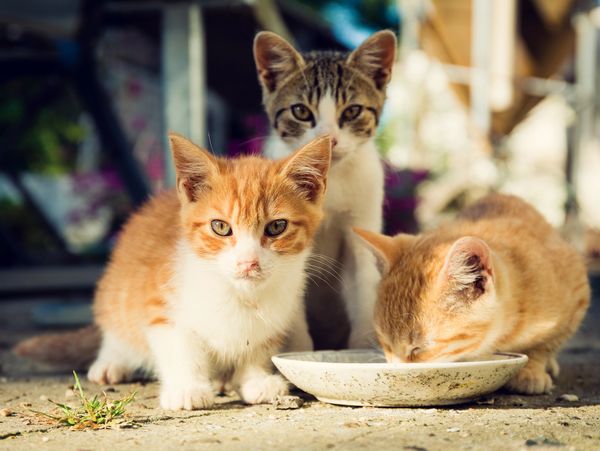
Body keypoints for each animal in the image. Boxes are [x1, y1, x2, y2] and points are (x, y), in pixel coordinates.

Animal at [85, 133, 330, 410]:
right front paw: (187, 387)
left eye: (277, 226)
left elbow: (260, 346)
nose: (248, 263)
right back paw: (110, 362)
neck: (240, 294)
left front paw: (257, 380)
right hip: (117, 291)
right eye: (220, 227)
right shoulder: (162, 305)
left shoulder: (282, 312)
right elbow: (180, 346)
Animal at [252, 30, 396, 350]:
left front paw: (361, 348)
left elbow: (364, 282)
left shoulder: (362, 221)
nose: (329, 139)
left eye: (352, 111)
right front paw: (298, 351)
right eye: (301, 111)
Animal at [356, 194, 592, 396]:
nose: (395, 369)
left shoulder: (577, 290)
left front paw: (531, 370)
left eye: (418, 349)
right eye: (385, 342)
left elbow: (546, 343)